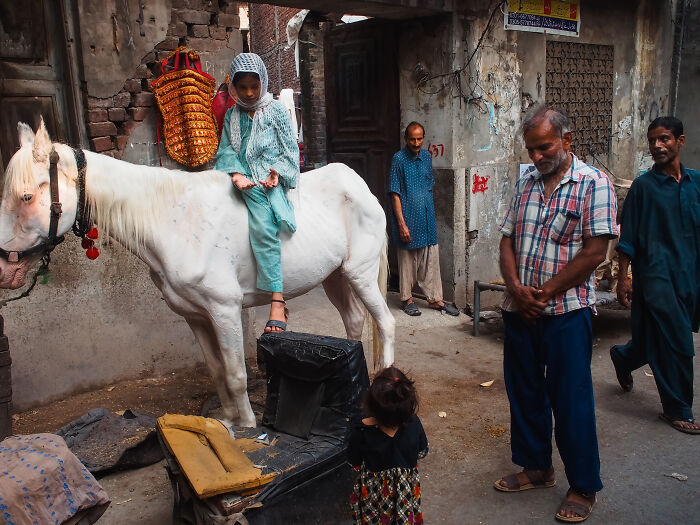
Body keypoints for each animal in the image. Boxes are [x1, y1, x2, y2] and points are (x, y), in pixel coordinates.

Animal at [0, 120, 395, 427]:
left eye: (25, 197)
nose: (6, 268)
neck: (173, 220)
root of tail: (359, 185)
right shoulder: (195, 315)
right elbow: (218, 371)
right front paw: (228, 419)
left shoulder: (224, 309)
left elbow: (235, 372)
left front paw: (247, 425)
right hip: (335, 277)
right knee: (354, 321)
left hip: (360, 274)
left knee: (385, 323)